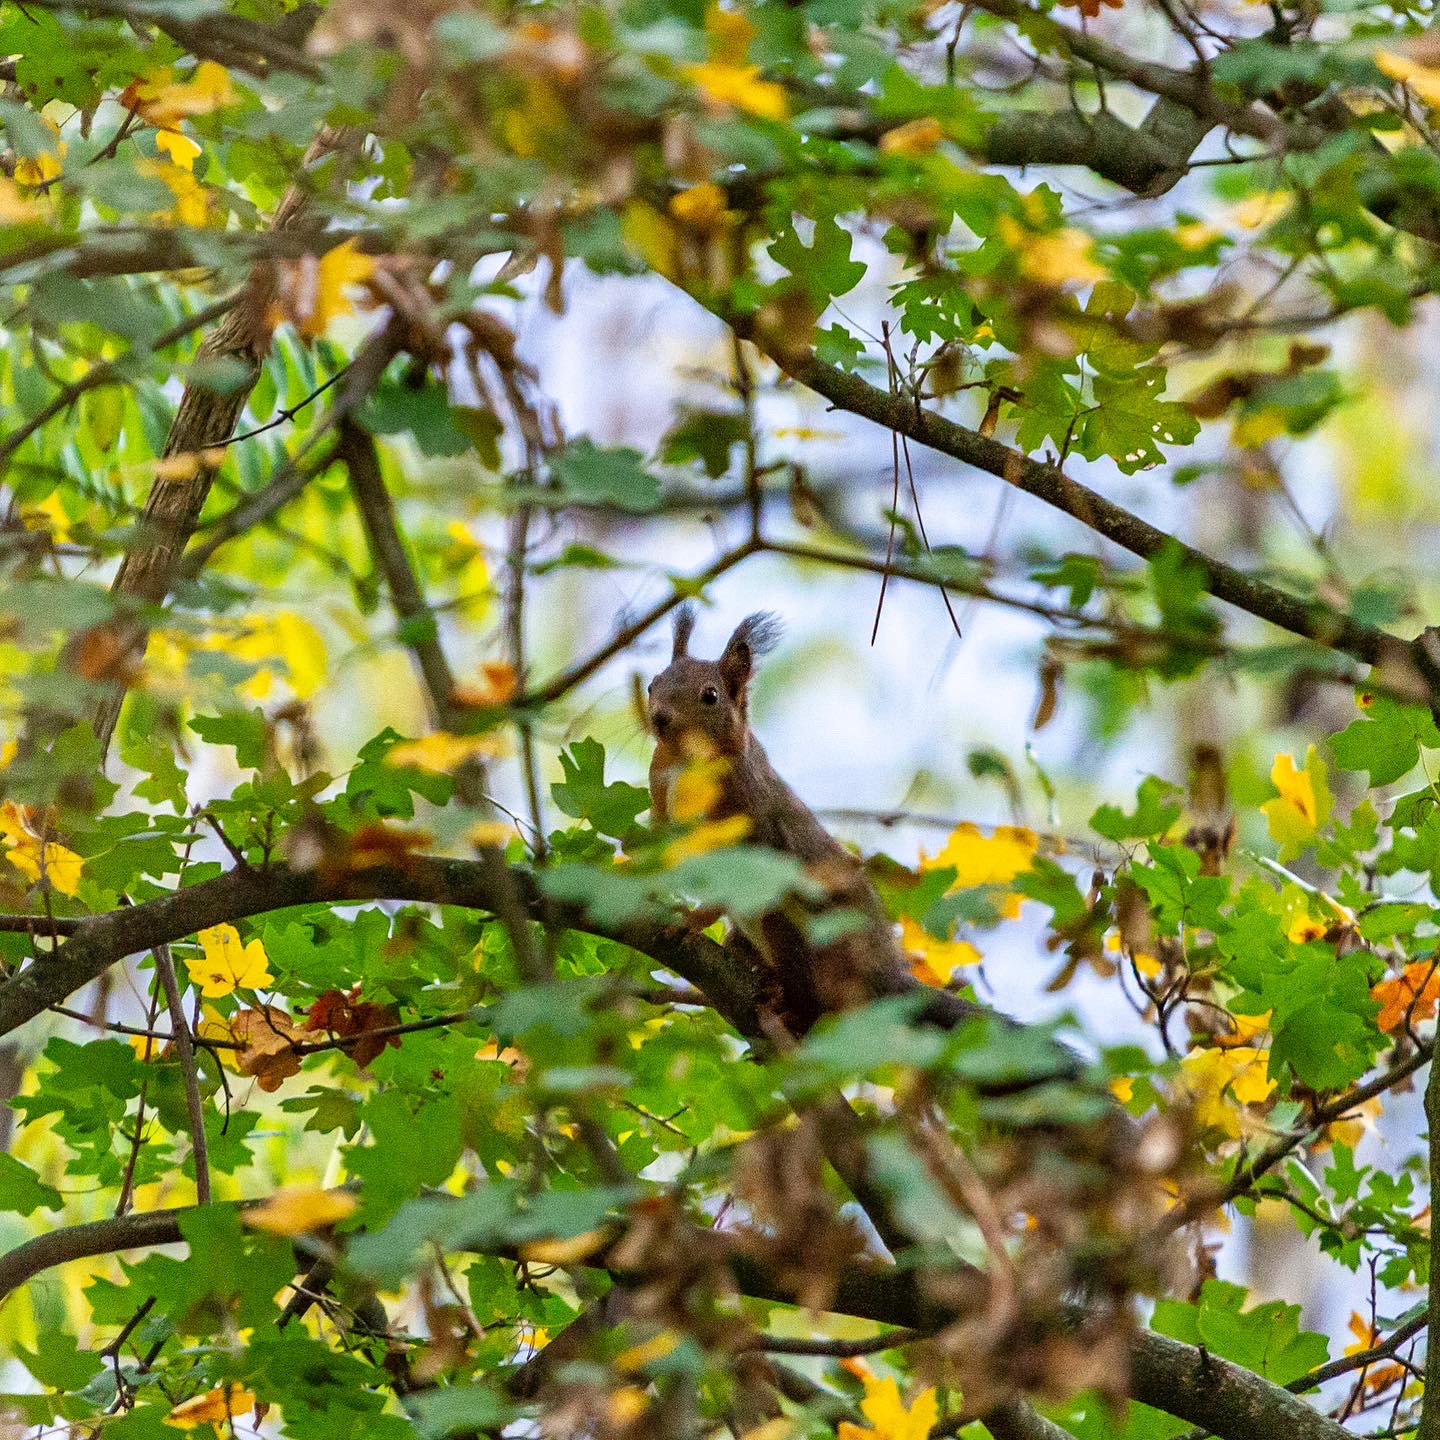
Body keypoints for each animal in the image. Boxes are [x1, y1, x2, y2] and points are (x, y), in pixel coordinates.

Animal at [647, 605, 989, 1037]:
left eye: (710, 696)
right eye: (652, 685)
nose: (658, 718)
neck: (685, 762)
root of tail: (883, 976)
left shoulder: (753, 823)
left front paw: (692, 920)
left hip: (796, 930)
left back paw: (789, 1006)